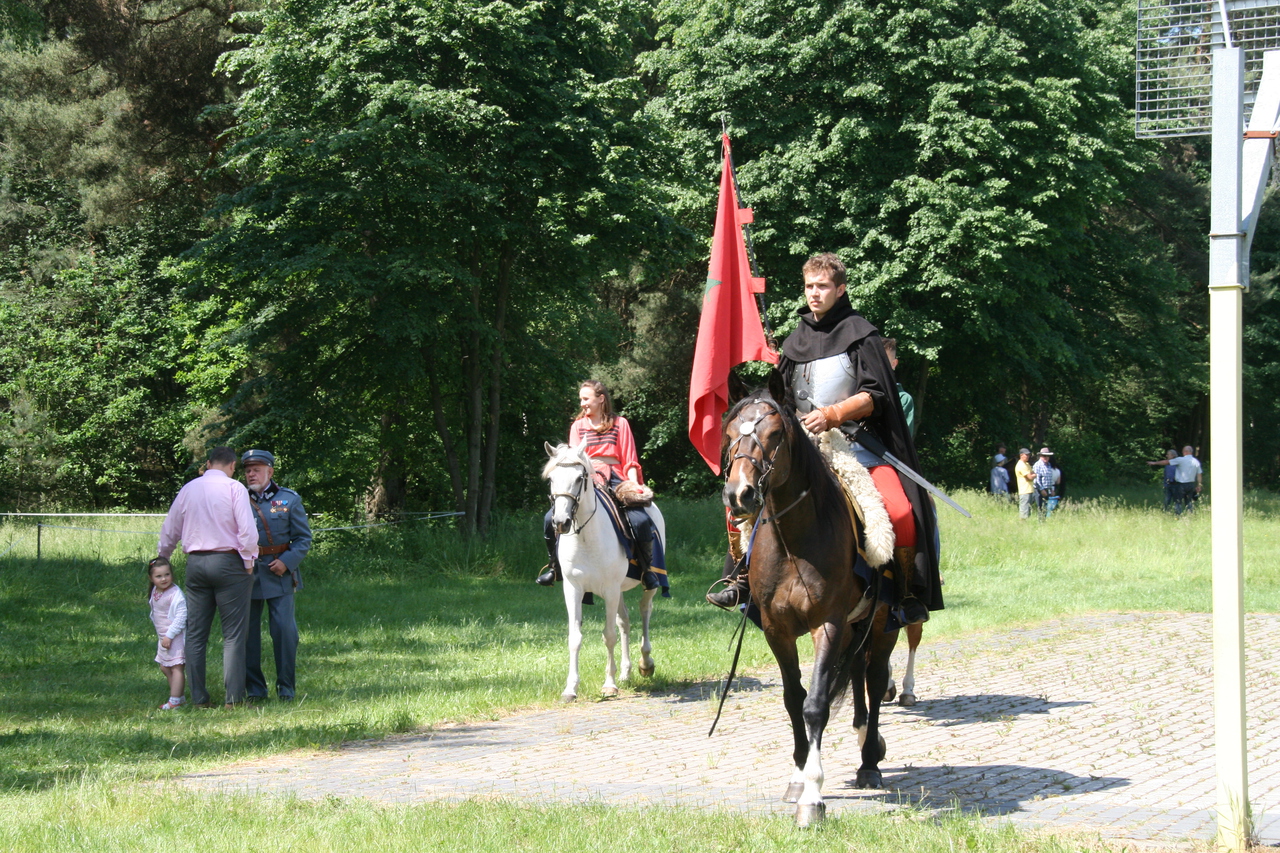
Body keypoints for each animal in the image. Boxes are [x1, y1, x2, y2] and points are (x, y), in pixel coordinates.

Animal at [542, 440, 665, 701]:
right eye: (551, 479)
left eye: (580, 478)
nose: (560, 522)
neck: (586, 537)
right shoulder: (574, 589)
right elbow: (575, 638)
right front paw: (570, 688)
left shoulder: (609, 589)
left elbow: (608, 636)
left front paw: (609, 684)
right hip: (618, 591)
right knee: (624, 621)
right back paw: (627, 672)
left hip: (648, 583)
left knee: (644, 611)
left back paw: (646, 663)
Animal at [721, 371, 901, 824]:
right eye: (730, 434)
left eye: (773, 434)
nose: (739, 495)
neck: (794, 541)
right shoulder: (776, 629)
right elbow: (793, 699)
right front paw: (798, 776)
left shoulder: (829, 624)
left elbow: (816, 704)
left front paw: (813, 796)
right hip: (857, 624)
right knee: (857, 672)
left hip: (883, 621)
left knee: (874, 679)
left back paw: (869, 760)